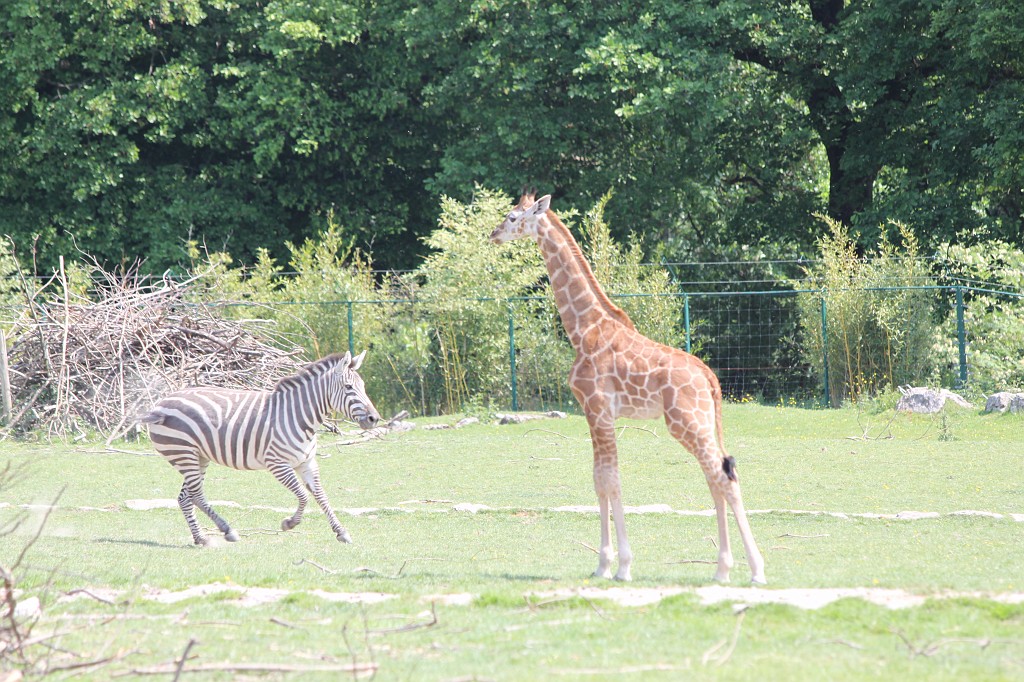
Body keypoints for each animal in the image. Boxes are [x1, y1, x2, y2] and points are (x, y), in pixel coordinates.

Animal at [141, 351, 380, 546]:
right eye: (349, 388)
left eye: (363, 387)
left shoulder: (307, 463)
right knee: (197, 494)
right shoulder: (278, 464)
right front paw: (289, 523)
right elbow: (304, 496)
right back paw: (224, 531)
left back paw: (201, 537)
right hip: (184, 453)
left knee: (186, 497)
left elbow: (321, 496)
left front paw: (341, 532)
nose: (374, 419)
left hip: (198, 457)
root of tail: (160, 404)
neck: (299, 417)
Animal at [490, 191, 766, 584]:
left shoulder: (598, 410)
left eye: (513, 217)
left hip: (685, 422)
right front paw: (603, 564)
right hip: (698, 423)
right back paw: (722, 570)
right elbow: (598, 479)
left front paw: (619, 565)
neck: (582, 330)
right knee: (717, 477)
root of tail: (710, 378)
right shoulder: (593, 414)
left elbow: (610, 481)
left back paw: (755, 571)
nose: (494, 234)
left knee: (724, 477)